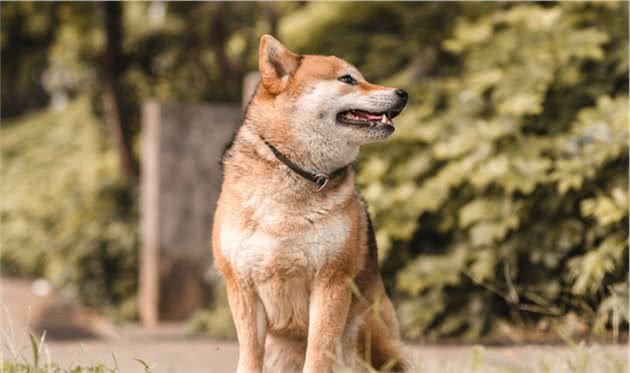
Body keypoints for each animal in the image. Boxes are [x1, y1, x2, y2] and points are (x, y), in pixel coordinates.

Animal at [212, 35, 410, 372]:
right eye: (348, 79)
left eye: (359, 77)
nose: (402, 93)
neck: (295, 173)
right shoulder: (242, 288)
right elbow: (250, 355)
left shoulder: (331, 283)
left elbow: (318, 353)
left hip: (368, 333)